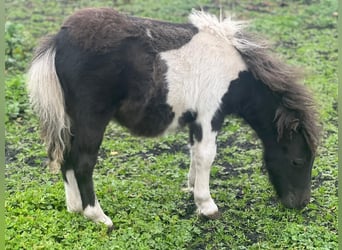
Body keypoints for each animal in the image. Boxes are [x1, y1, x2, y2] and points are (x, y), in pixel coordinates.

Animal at [28, 7, 320, 230]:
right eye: (297, 160)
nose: (301, 204)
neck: (234, 72)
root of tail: (59, 39)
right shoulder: (210, 114)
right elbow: (207, 155)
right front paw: (207, 205)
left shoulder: (196, 119)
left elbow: (194, 152)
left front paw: (191, 189)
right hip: (92, 119)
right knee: (83, 163)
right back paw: (98, 216)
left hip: (71, 119)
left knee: (66, 157)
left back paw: (75, 207)